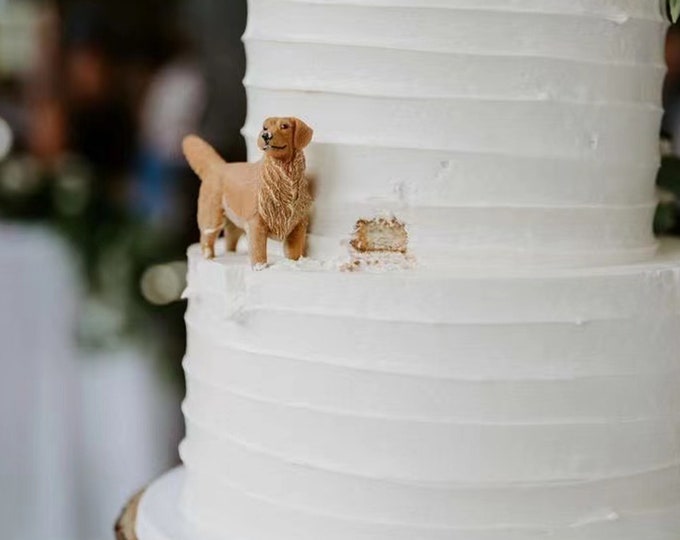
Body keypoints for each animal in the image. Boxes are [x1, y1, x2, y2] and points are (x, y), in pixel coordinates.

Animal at [181, 118, 314, 270]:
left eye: (284, 126)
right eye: (265, 127)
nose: (265, 135)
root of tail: (217, 167)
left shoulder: (298, 225)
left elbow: (294, 251)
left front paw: (294, 263)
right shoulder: (256, 223)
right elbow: (258, 249)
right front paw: (259, 267)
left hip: (234, 219)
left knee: (230, 237)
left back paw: (231, 253)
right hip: (212, 217)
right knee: (206, 238)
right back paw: (209, 257)